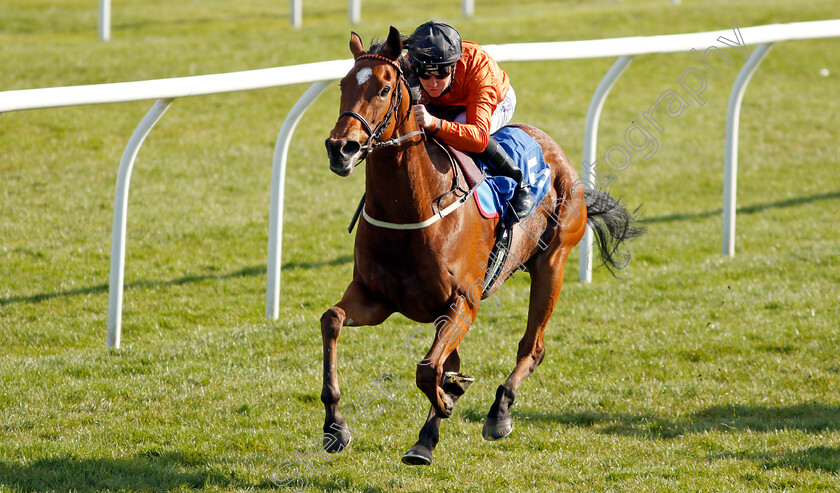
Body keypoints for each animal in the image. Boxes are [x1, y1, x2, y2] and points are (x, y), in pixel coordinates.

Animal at [322, 26, 644, 466]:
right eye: (342, 85)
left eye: (385, 88)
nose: (341, 149)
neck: (410, 211)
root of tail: (553, 149)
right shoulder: (375, 297)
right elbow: (333, 321)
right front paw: (335, 426)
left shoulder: (463, 302)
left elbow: (428, 370)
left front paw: (444, 405)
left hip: (552, 264)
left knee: (532, 347)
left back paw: (497, 412)